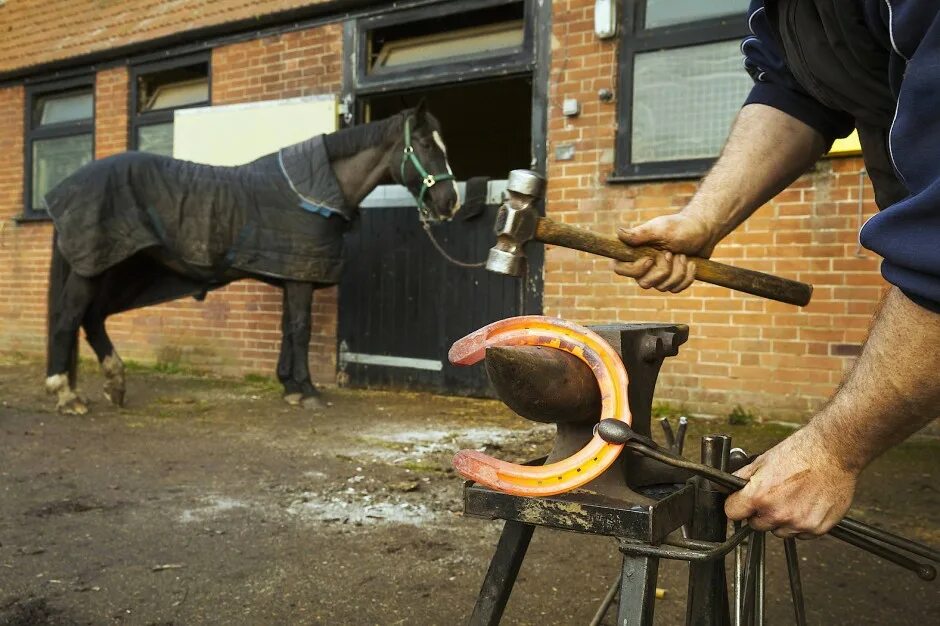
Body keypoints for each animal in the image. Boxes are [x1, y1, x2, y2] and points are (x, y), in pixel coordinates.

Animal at [42, 102, 460, 414]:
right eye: (424, 144)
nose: (450, 202)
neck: (315, 191)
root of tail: (64, 189)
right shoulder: (300, 278)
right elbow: (301, 330)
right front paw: (307, 391)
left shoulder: (291, 274)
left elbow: (287, 329)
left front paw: (289, 385)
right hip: (95, 267)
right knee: (69, 319)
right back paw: (66, 394)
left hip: (118, 267)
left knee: (93, 318)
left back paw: (115, 383)